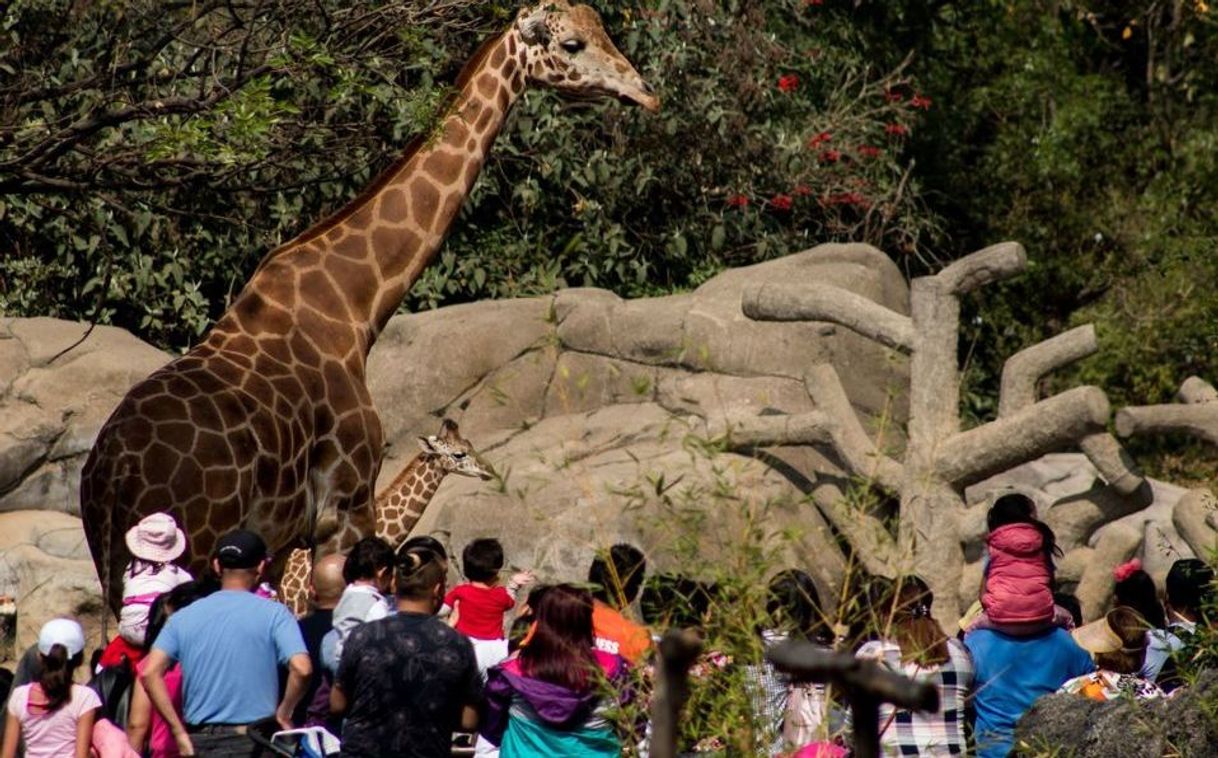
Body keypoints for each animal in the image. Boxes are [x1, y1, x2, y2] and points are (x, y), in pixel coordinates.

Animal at [83, 1, 657, 619]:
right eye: (573, 44)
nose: (646, 93)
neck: (355, 309)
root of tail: (112, 475)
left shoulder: (281, 537)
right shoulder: (346, 503)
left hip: (116, 561)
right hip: (189, 546)